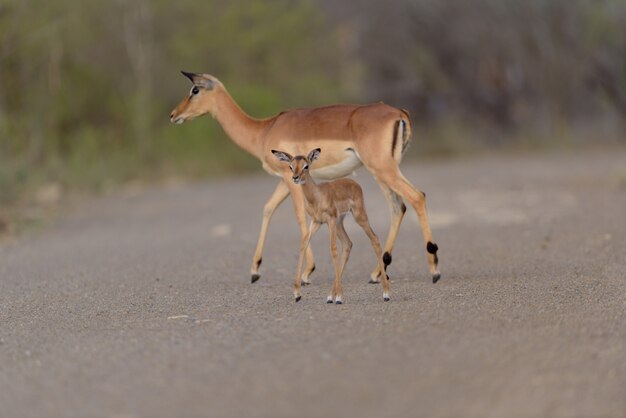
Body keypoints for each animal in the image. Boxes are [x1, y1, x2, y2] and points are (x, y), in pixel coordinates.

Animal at [270, 149, 388, 302]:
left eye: (306, 166)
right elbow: (304, 244)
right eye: (291, 166)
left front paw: (340, 296)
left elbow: (333, 249)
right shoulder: (316, 222)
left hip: (359, 217)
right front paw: (297, 294)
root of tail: (354, 183)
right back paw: (330, 296)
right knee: (348, 244)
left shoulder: (330, 220)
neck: (316, 196)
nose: (295, 177)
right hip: (339, 223)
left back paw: (386, 294)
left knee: (374, 239)